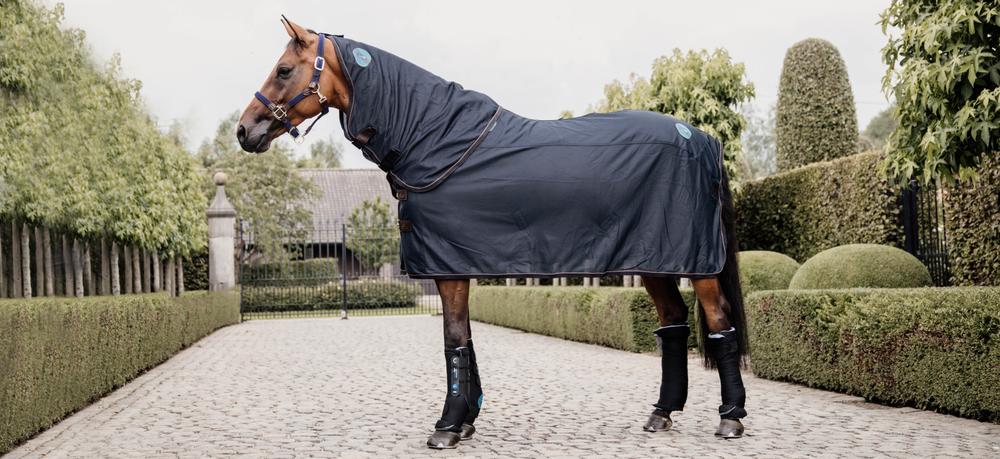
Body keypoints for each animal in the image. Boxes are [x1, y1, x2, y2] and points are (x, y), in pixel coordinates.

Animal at [237, 17, 749, 449]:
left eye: (284, 69)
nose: (245, 131)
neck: (437, 141)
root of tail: (701, 138)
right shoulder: (454, 265)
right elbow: (466, 341)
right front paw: (466, 420)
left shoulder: (448, 268)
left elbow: (453, 340)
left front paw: (447, 426)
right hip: (655, 258)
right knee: (673, 322)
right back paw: (662, 412)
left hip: (696, 263)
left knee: (719, 321)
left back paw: (731, 418)